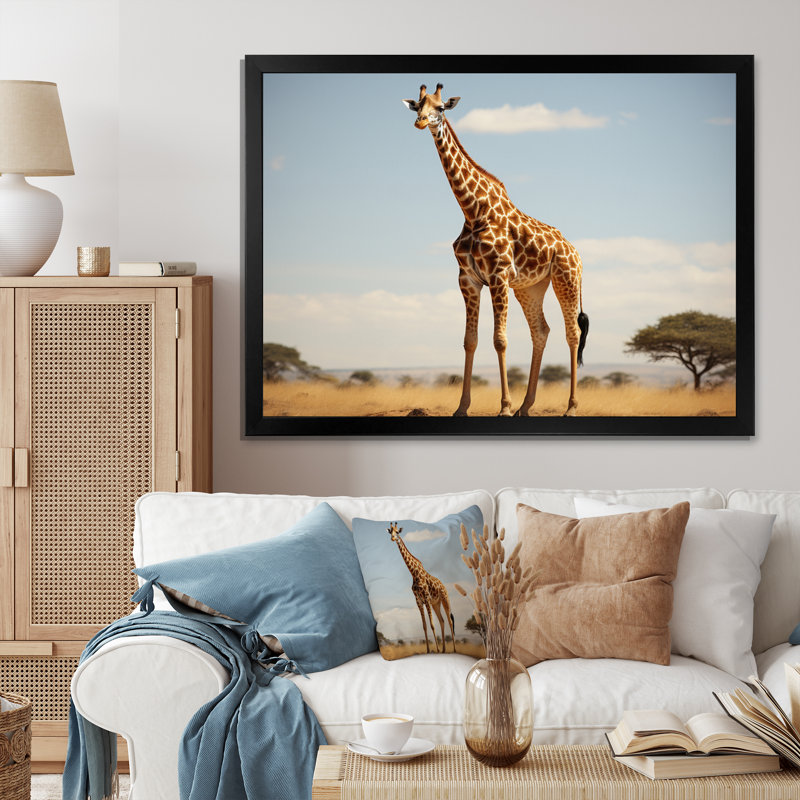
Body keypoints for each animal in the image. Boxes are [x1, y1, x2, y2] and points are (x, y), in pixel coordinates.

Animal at [388, 523, 456, 654]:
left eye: (397, 532)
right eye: (390, 532)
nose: (393, 538)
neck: (414, 573)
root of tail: (444, 586)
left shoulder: (427, 599)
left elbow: (432, 625)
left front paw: (436, 650)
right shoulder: (419, 601)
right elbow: (424, 626)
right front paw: (429, 651)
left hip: (445, 599)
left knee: (450, 621)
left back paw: (453, 650)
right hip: (436, 603)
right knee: (442, 621)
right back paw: (444, 649)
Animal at [403, 84, 590, 417]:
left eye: (441, 108)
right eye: (418, 106)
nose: (421, 122)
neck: (473, 211)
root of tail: (576, 253)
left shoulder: (498, 276)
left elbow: (500, 340)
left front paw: (503, 407)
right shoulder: (468, 279)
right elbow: (470, 340)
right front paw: (462, 407)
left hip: (566, 280)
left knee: (573, 334)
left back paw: (570, 407)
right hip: (530, 287)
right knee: (541, 331)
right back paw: (525, 407)